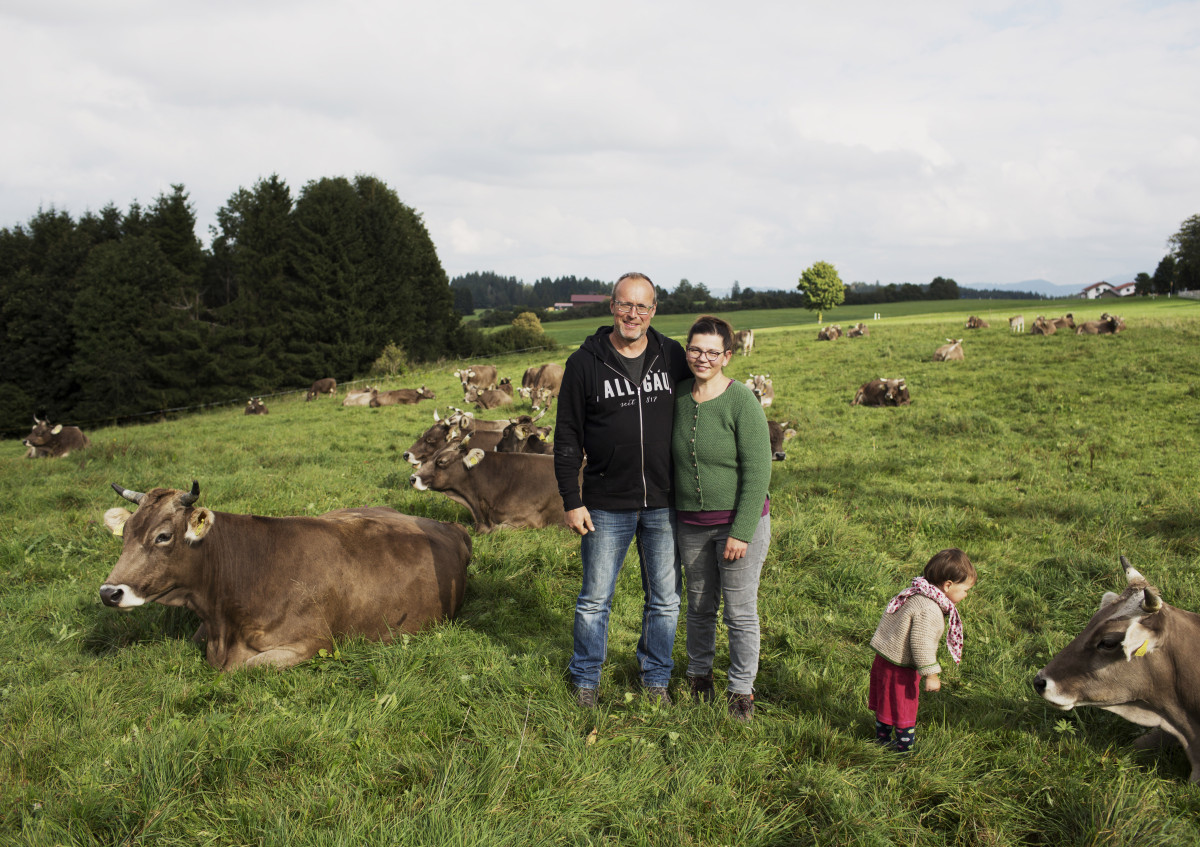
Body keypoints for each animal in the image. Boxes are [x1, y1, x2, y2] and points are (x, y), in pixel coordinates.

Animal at [99, 482, 472, 667]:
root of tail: (451, 527)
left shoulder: (312, 643)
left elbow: (247, 667)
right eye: (126, 531)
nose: (108, 592)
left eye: (163, 536)